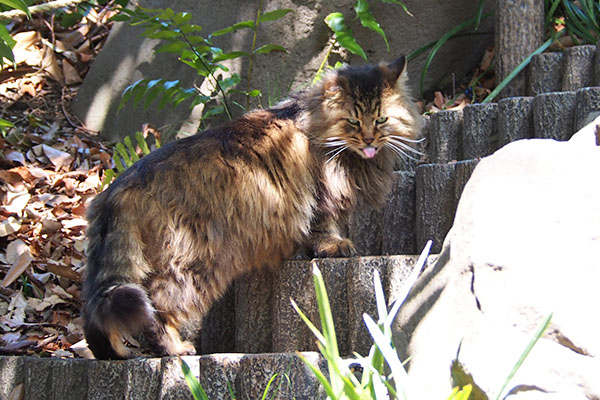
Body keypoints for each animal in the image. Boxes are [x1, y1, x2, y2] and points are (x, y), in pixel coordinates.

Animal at [82, 56, 422, 360]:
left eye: (381, 120)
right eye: (352, 121)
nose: (369, 140)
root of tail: (118, 187)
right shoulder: (320, 196)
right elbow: (324, 227)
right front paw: (334, 246)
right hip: (191, 265)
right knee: (158, 310)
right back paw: (174, 349)